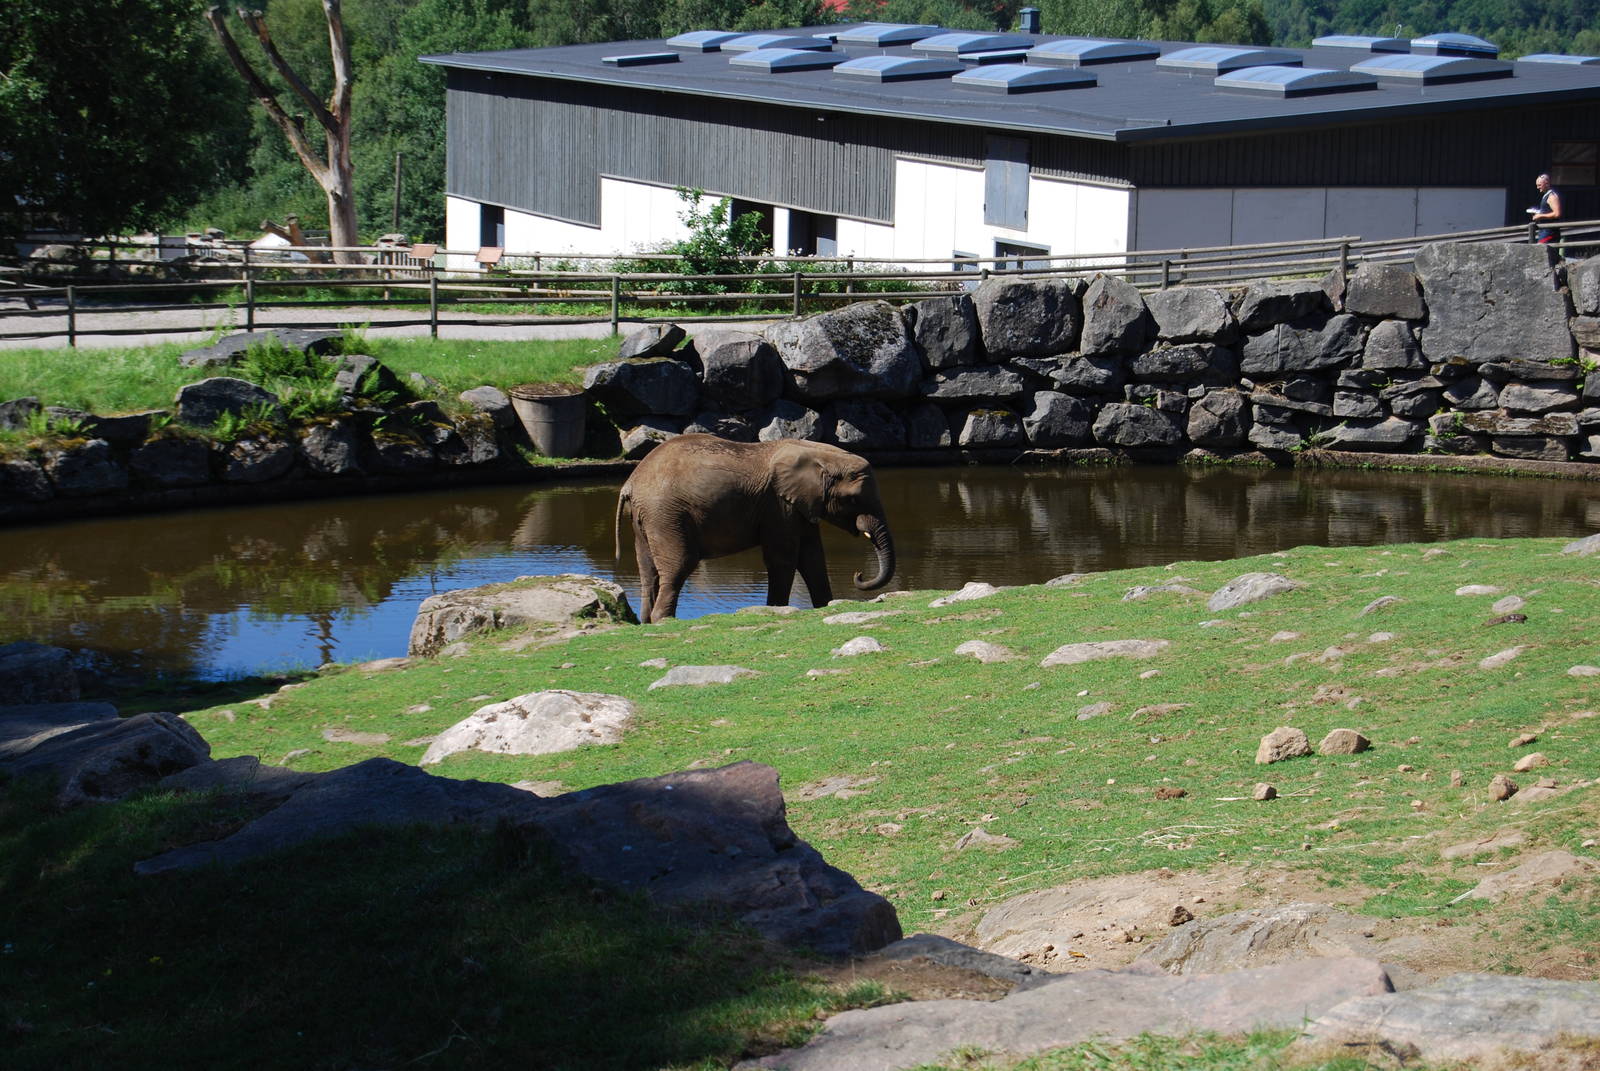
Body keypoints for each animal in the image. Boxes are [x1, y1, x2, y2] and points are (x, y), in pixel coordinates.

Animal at [614, 434, 895, 623]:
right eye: (854, 499)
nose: (859, 574)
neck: (819, 454)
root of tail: (631, 482)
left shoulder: (799, 505)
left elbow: (812, 557)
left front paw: (825, 606)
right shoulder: (778, 504)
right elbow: (784, 558)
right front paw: (777, 609)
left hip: (647, 518)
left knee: (648, 570)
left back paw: (647, 622)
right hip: (666, 514)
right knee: (680, 564)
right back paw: (664, 621)